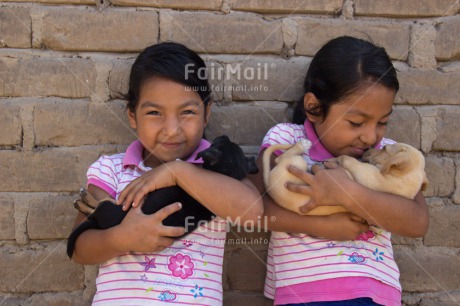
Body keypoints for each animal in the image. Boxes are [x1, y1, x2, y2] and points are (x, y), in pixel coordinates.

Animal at [264, 141, 430, 215]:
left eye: (383, 148)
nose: (367, 148)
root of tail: (269, 188)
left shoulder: (361, 170)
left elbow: (346, 158)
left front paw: (331, 160)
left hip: (297, 163)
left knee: (280, 158)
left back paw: (302, 145)